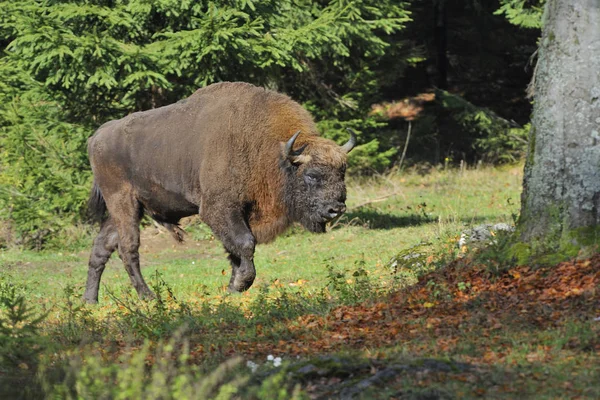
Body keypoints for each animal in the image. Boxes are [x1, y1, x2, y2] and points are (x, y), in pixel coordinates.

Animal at [84, 81, 356, 304]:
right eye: (311, 175)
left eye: (342, 172)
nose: (336, 208)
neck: (269, 151)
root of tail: (97, 136)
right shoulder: (218, 209)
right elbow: (245, 243)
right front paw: (241, 283)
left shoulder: (238, 213)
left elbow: (234, 250)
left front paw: (233, 287)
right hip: (123, 202)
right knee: (128, 248)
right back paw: (148, 297)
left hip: (125, 208)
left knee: (102, 247)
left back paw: (90, 300)